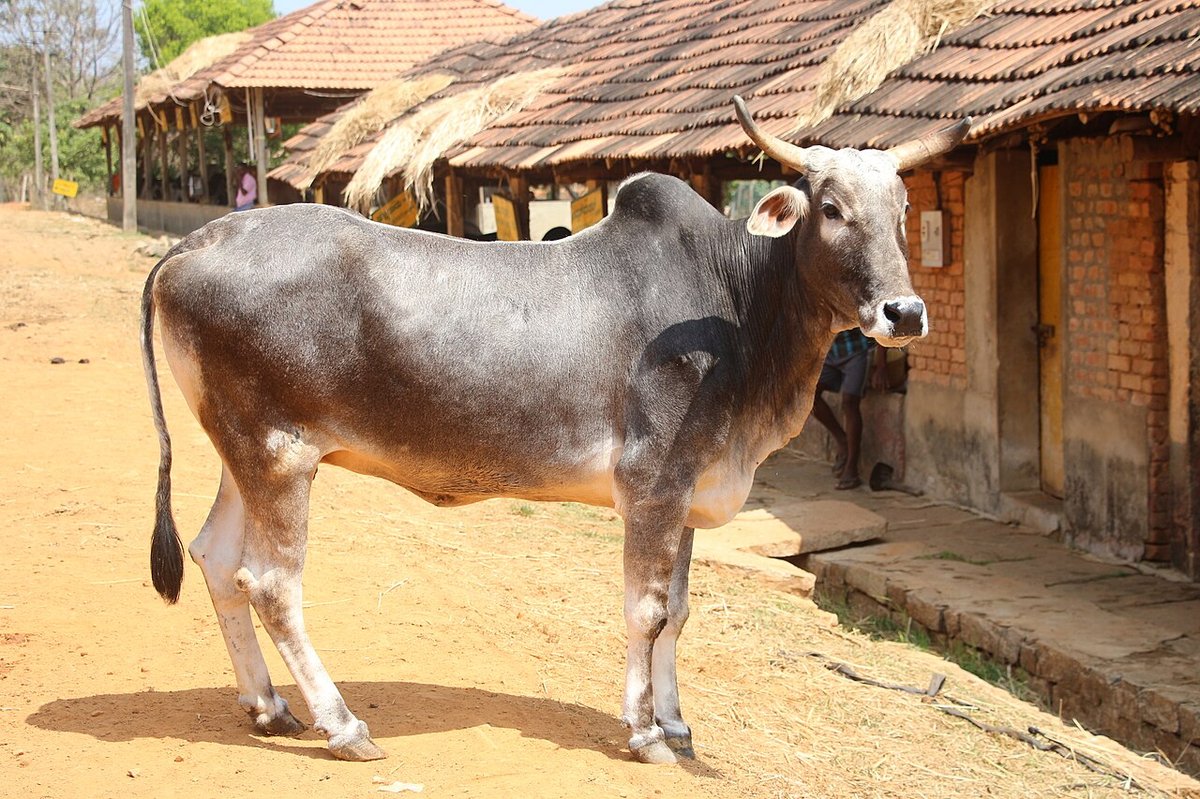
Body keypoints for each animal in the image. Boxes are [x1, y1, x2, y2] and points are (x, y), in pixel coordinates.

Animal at [140, 96, 969, 764]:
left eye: (902, 208)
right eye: (830, 206)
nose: (903, 312)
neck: (738, 304)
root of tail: (196, 243)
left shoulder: (689, 491)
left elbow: (679, 612)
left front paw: (676, 724)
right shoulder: (651, 485)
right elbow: (647, 610)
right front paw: (644, 733)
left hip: (244, 454)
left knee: (216, 558)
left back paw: (268, 705)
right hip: (280, 457)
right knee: (271, 583)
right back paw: (342, 725)